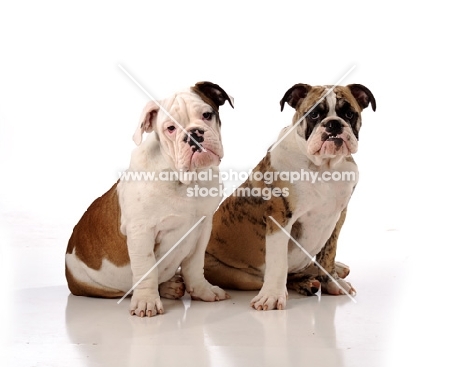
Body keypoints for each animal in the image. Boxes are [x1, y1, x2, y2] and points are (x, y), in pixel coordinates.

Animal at [65, 82, 233, 318]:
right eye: (170, 128)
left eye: (207, 115)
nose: (193, 134)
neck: (185, 180)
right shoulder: (141, 231)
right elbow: (146, 268)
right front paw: (146, 302)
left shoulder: (203, 226)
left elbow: (194, 264)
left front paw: (202, 290)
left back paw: (170, 286)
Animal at [205, 83, 376, 310]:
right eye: (314, 114)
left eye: (349, 114)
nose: (333, 124)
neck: (324, 166)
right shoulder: (280, 218)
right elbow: (279, 263)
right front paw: (272, 296)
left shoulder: (338, 216)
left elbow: (328, 254)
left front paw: (332, 282)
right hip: (240, 277)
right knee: (281, 274)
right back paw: (306, 282)